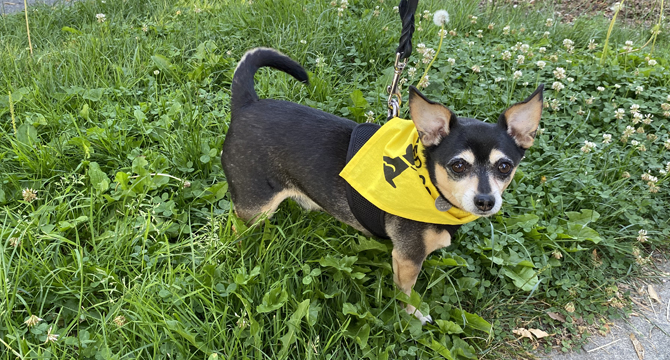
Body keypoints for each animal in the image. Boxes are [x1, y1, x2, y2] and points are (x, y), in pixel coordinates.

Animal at [223, 47, 544, 324]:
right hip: (255, 208)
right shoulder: (407, 258)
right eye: (458, 166)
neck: (430, 186)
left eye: (504, 167)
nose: (485, 201)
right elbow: (407, 293)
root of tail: (246, 104)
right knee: (237, 226)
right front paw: (413, 314)